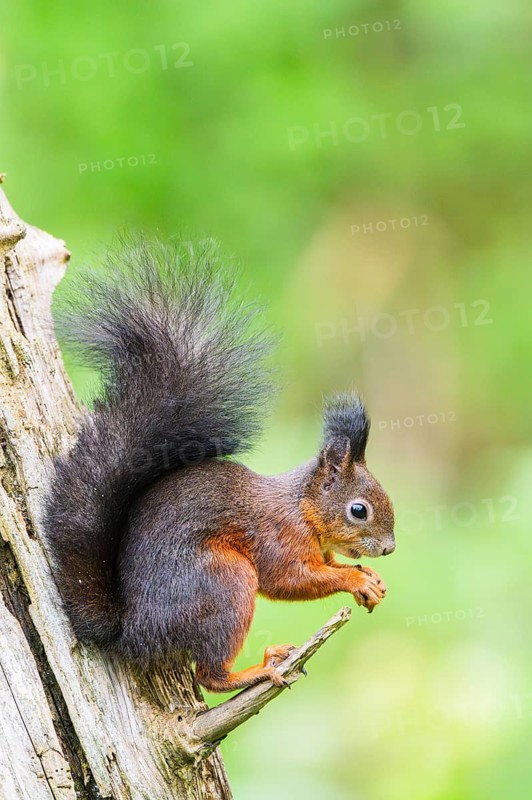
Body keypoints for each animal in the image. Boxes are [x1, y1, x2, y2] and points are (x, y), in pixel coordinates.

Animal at [44, 239, 395, 693]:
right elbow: (290, 580)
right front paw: (355, 579)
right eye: (358, 510)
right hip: (225, 583)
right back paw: (259, 668)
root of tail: (133, 630)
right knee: (210, 675)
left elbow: (330, 565)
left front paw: (370, 578)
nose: (389, 548)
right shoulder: (277, 538)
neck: (302, 507)